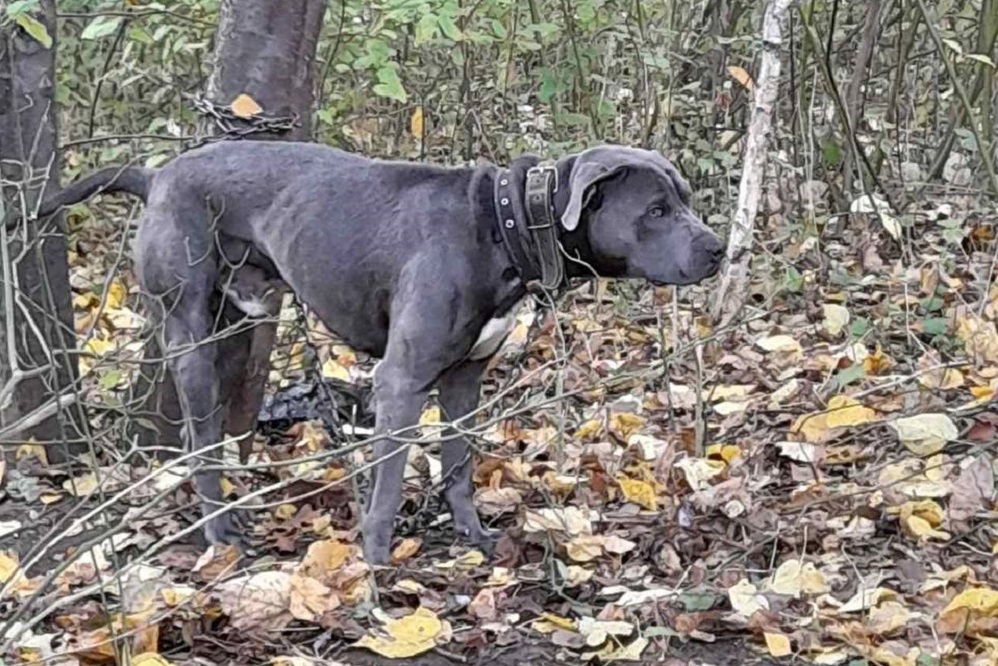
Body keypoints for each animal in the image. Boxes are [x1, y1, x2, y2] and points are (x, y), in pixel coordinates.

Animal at [37, 139, 728, 560]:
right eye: (657, 210)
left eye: (685, 201)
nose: (719, 248)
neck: (503, 225)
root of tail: (157, 173)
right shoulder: (402, 380)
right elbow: (390, 486)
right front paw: (374, 564)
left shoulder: (464, 379)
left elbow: (457, 466)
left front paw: (473, 536)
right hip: (190, 333)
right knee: (201, 435)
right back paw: (220, 530)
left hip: (239, 326)